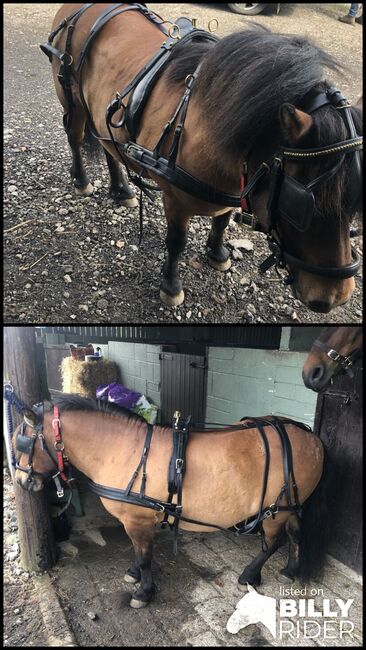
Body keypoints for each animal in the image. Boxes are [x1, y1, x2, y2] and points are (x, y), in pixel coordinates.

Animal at [13, 394, 326, 608]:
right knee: (296, 533)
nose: (20, 481)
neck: (124, 449)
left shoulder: (137, 520)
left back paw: (250, 574)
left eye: (22, 443)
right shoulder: (137, 520)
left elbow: (145, 556)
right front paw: (133, 573)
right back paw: (290, 570)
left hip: (275, 511)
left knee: (273, 542)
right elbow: (138, 553)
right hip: (292, 504)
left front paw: (143, 591)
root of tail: (310, 436)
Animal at [42, 2, 360, 312]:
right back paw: (82, 181)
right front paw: (171, 286)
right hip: (72, 99)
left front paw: (217, 253)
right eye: (298, 205)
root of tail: (76, 9)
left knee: (108, 147)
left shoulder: (237, 183)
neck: (202, 122)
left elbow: (221, 222)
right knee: (75, 138)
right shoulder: (175, 200)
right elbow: (176, 242)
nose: (335, 298)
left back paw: (121, 190)